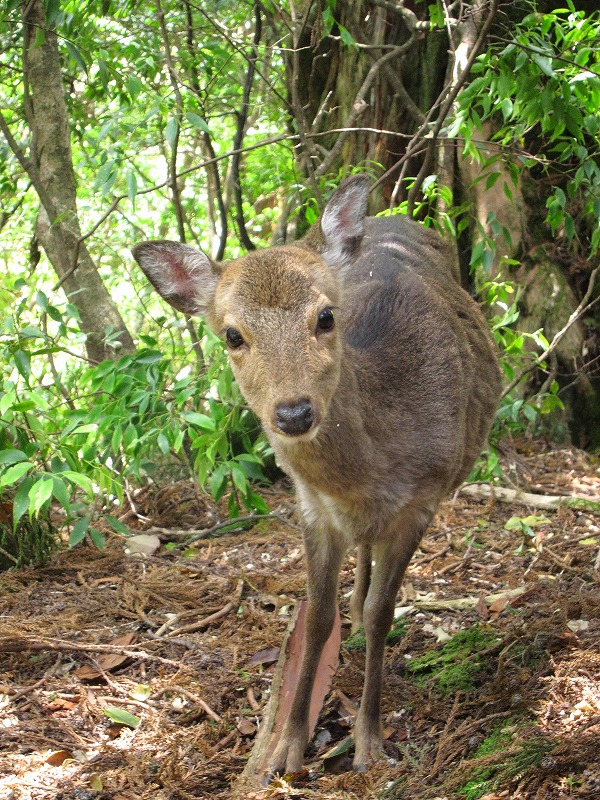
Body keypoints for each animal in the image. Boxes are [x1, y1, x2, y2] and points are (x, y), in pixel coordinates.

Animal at [130, 175, 502, 776]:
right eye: (231, 335)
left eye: (327, 316)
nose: (294, 413)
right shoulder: (311, 506)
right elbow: (317, 617)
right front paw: (287, 746)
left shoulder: (421, 500)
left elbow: (382, 614)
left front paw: (370, 742)